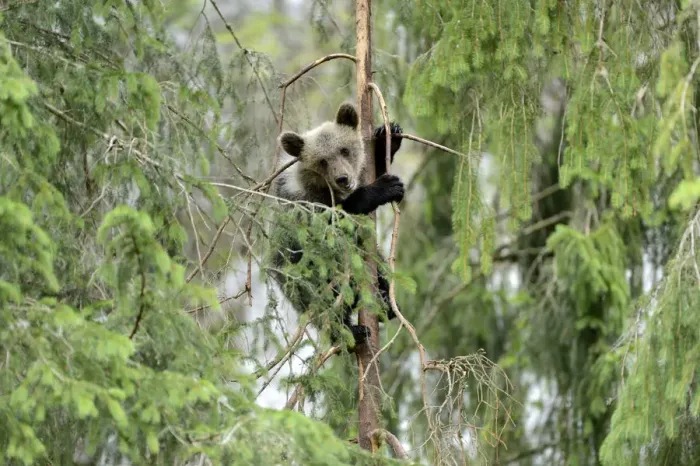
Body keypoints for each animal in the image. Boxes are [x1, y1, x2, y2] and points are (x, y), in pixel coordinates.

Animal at [268, 102, 405, 348]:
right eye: (322, 161)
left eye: (344, 150)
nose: (343, 178)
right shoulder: (300, 207)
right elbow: (331, 221)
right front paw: (385, 188)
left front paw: (387, 136)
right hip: (301, 274)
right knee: (322, 302)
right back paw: (352, 330)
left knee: (378, 264)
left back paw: (385, 302)